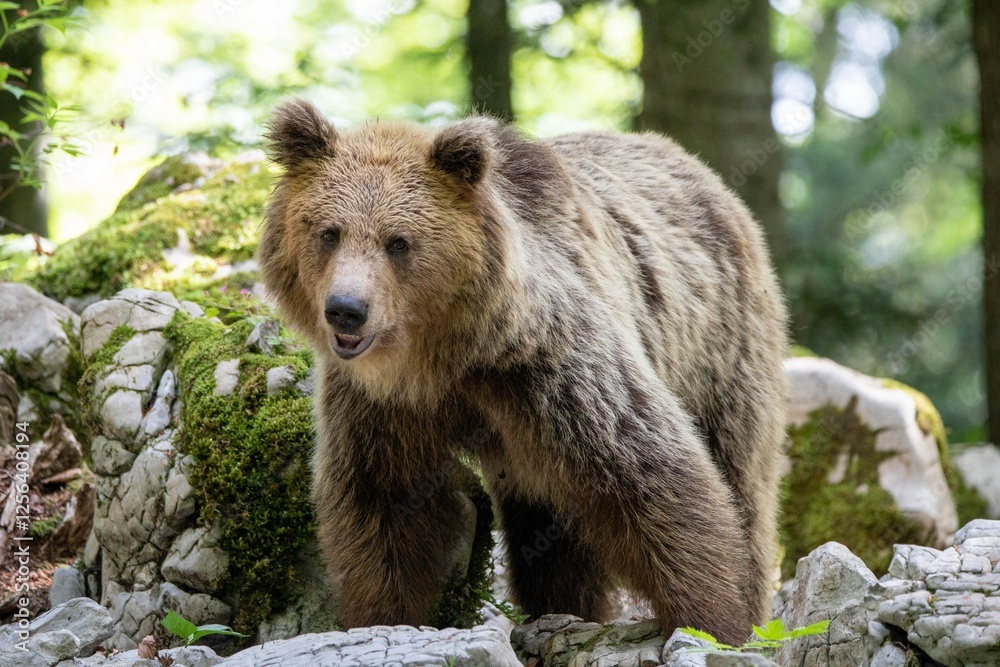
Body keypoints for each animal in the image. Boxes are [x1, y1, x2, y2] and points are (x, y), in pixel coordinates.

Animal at [258, 98, 788, 645]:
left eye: (398, 242)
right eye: (328, 232)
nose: (346, 310)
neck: (440, 359)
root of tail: (695, 164)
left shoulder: (547, 367)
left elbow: (651, 476)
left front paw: (715, 621)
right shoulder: (380, 406)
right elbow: (384, 503)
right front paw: (381, 615)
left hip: (720, 349)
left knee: (739, 474)